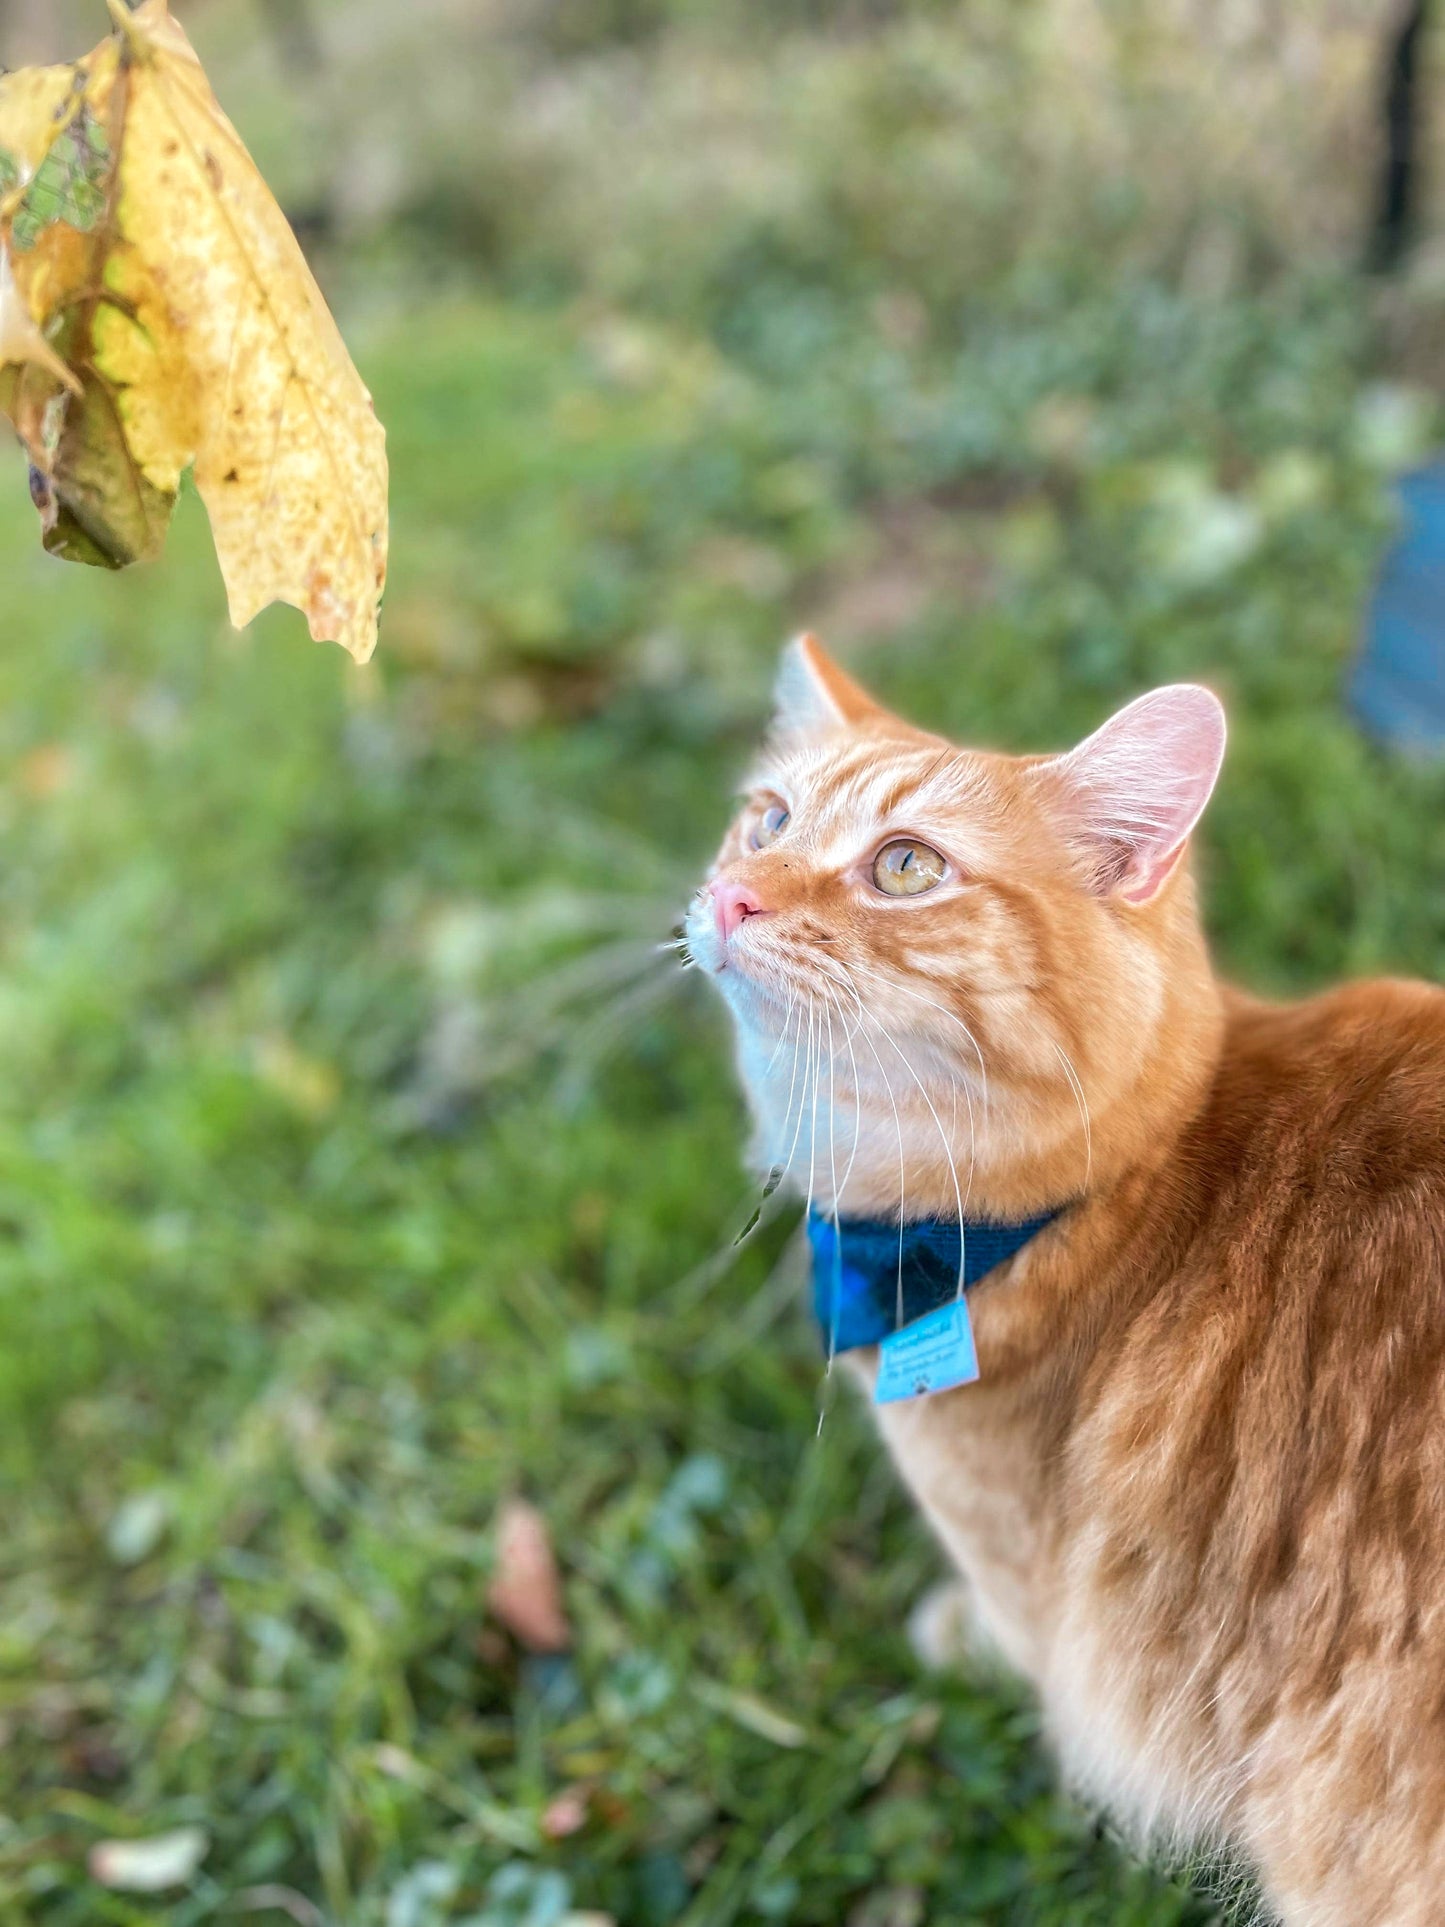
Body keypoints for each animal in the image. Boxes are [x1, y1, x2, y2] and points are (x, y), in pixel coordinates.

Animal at [685, 635, 1445, 1927]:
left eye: (903, 865)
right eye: (765, 819)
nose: (732, 895)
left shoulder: (1030, 1582)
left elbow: (1014, 1635)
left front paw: (954, 1638)